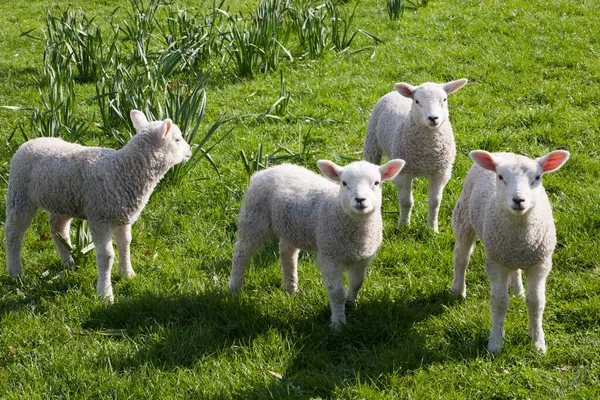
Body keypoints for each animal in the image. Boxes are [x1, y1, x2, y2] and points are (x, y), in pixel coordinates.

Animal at [4, 111, 191, 302]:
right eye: (177, 139)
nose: (190, 151)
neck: (122, 170)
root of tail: (31, 142)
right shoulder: (99, 218)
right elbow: (106, 256)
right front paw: (105, 293)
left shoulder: (123, 217)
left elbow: (125, 244)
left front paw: (127, 273)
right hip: (20, 194)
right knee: (14, 233)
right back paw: (16, 271)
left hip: (62, 199)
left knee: (58, 228)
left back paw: (68, 263)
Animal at [227, 158, 406, 330]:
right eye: (344, 183)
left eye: (376, 183)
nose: (360, 200)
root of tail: (267, 170)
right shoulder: (329, 255)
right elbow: (337, 293)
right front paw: (338, 324)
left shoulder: (363, 258)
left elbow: (357, 283)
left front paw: (350, 305)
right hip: (254, 218)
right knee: (241, 252)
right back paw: (234, 288)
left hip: (291, 226)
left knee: (287, 252)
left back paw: (290, 287)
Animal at [360, 78, 468, 233]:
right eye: (417, 101)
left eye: (444, 99)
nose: (433, 118)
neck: (426, 151)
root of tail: (394, 92)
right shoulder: (403, 174)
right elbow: (406, 202)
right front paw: (404, 226)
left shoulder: (440, 173)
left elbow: (435, 202)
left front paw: (432, 229)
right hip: (372, 144)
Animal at [450, 149, 572, 354]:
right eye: (500, 177)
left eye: (537, 177)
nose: (518, 200)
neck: (520, 236)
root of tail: (503, 152)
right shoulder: (496, 263)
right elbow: (499, 302)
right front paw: (495, 343)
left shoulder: (540, 263)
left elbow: (536, 302)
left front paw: (538, 342)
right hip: (464, 217)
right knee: (462, 257)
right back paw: (458, 291)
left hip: (509, 254)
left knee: (514, 270)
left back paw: (517, 291)